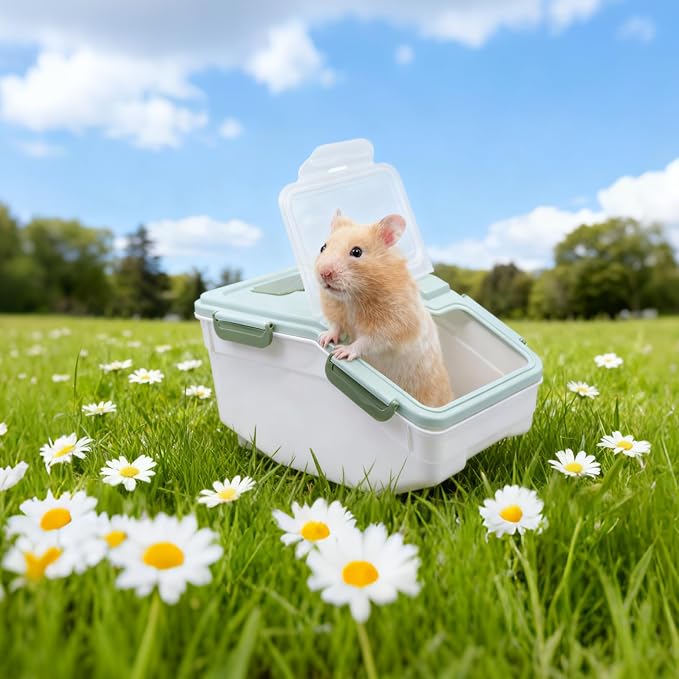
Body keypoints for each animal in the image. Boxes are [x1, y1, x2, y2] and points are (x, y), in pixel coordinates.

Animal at [315, 210, 453, 408]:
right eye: (323, 247)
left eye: (356, 252)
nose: (324, 273)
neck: (352, 298)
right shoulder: (335, 312)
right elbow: (335, 326)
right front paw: (323, 339)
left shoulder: (392, 326)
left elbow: (367, 341)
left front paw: (341, 352)